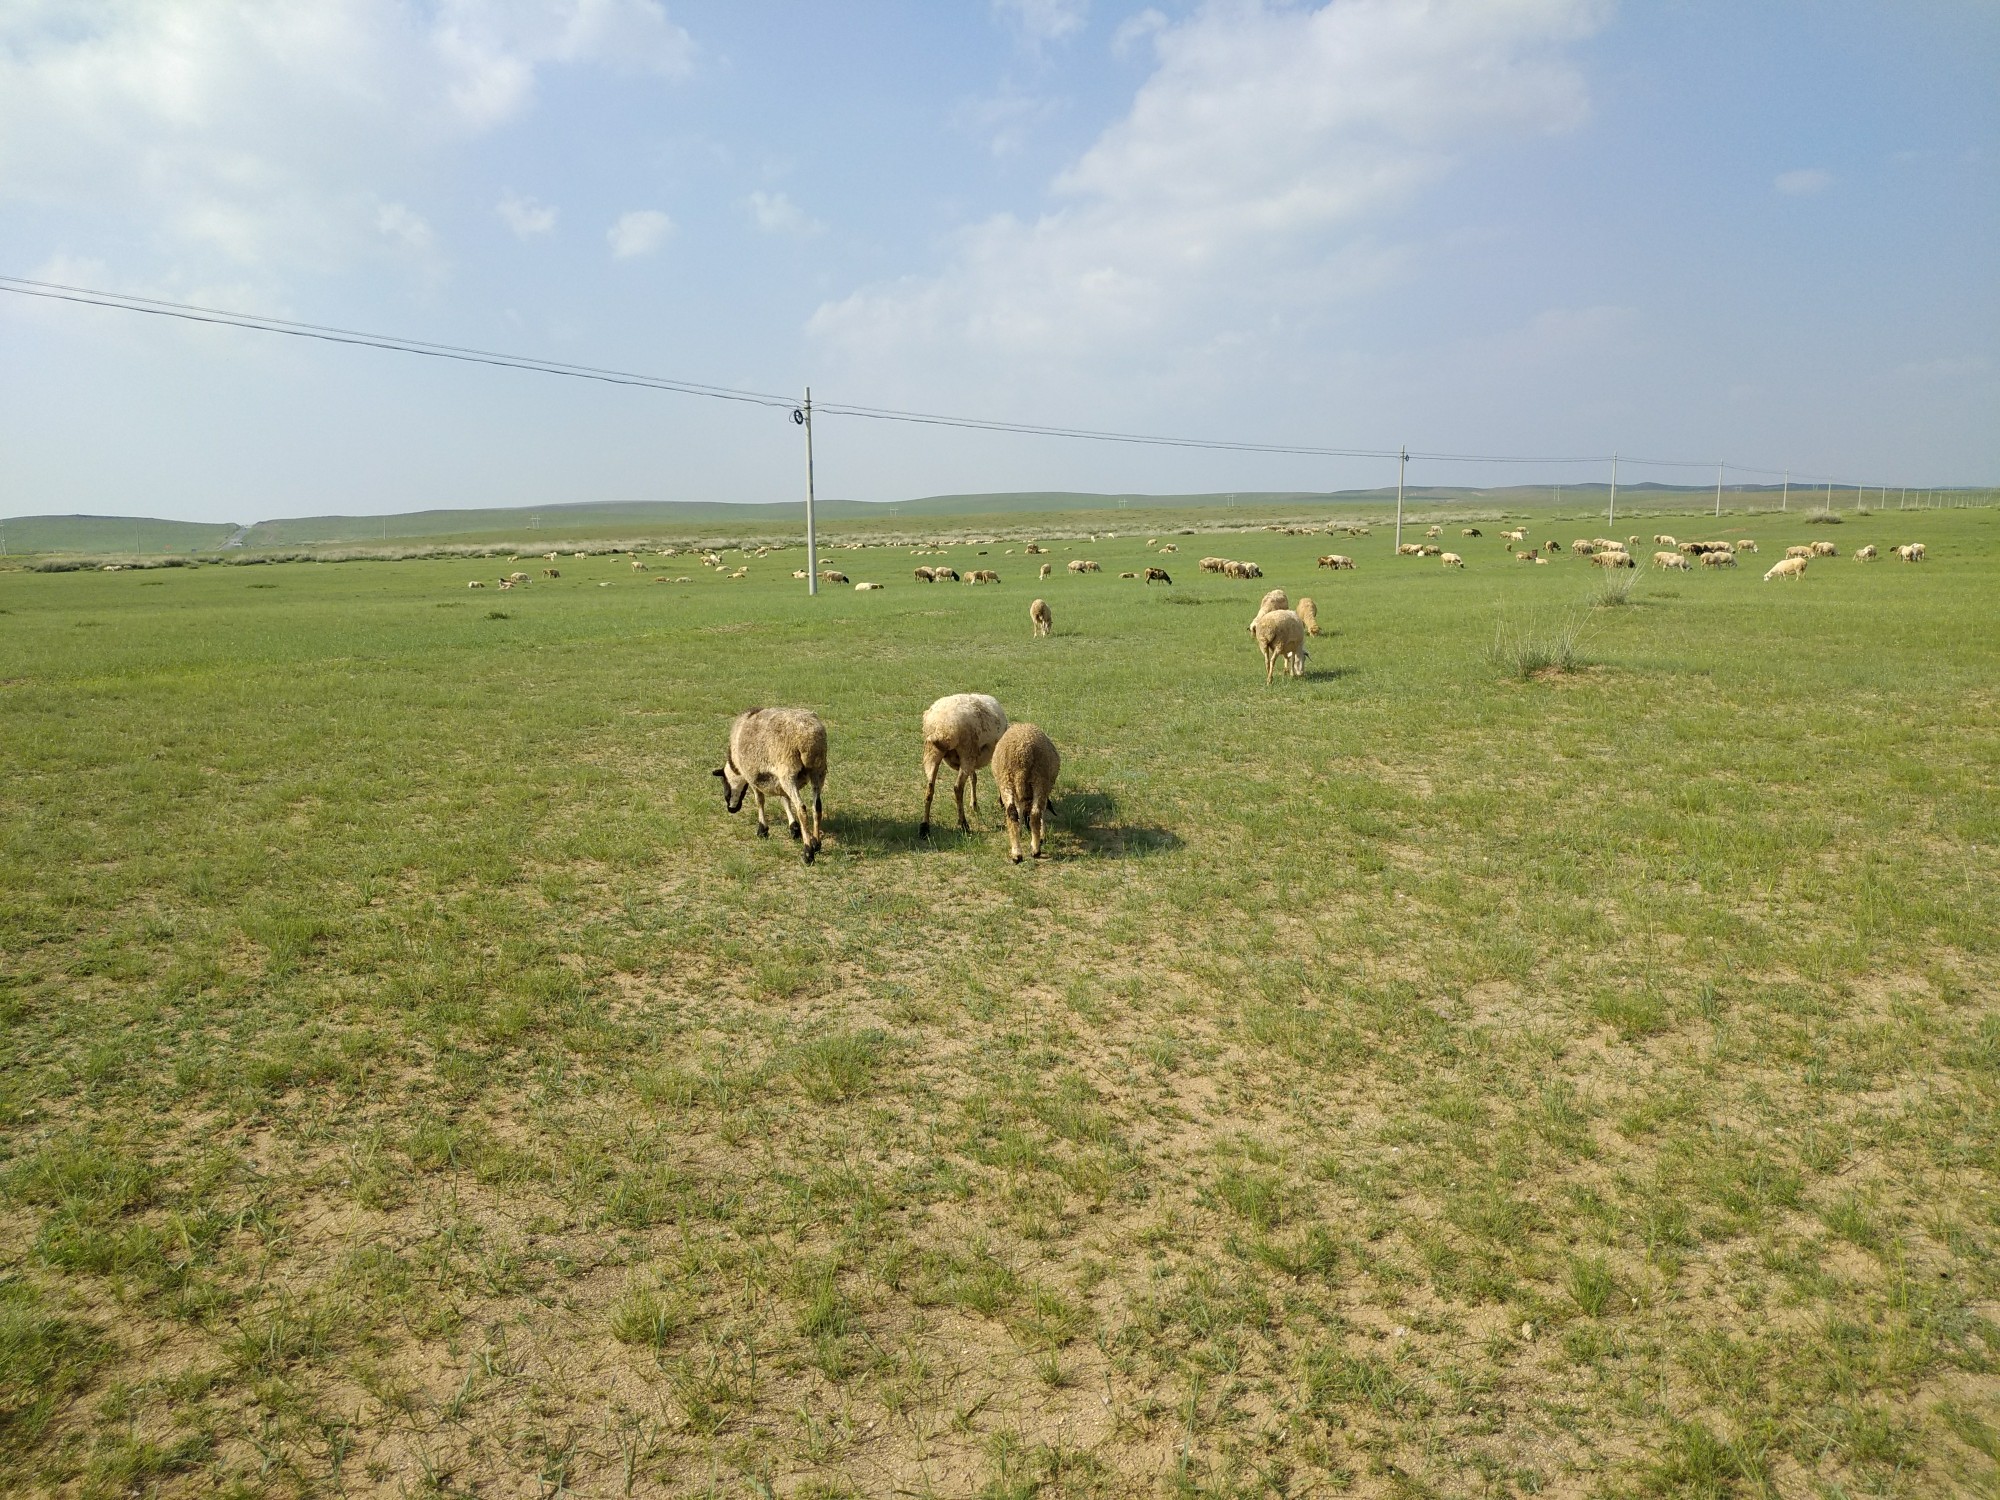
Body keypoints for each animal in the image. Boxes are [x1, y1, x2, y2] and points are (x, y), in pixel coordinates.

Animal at [712, 708, 828, 864]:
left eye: (724, 783)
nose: (731, 809)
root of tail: (808, 738)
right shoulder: (777, 781)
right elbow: (784, 800)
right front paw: (794, 828)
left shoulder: (751, 776)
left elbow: (760, 801)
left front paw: (762, 830)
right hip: (818, 770)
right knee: (817, 807)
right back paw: (816, 843)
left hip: (788, 771)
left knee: (801, 808)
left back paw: (808, 853)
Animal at [924, 696, 1016, 840]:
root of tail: (942, 728)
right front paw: (1000, 801)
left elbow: (974, 778)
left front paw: (974, 804)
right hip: (967, 751)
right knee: (958, 788)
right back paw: (963, 824)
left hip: (933, 753)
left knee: (929, 788)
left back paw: (924, 828)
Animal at [996, 724, 1064, 864]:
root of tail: (1022, 754)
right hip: (1037, 780)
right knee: (1033, 813)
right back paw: (1032, 850)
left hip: (1009, 779)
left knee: (1015, 813)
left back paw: (1020, 853)